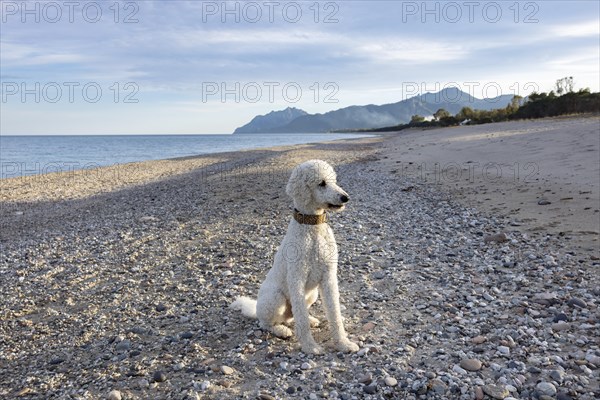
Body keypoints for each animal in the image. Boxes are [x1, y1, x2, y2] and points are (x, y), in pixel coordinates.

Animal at [232, 159, 358, 354]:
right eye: (322, 183)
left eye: (334, 180)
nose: (345, 197)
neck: (313, 228)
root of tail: (255, 309)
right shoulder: (296, 278)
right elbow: (302, 321)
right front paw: (310, 347)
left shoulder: (329, 277)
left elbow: (335, 314)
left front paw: (344, 343)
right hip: (275, 297)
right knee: (267, 323)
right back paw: (281, 330)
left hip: (312, 295)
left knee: (295, 316)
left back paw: (311, 320)